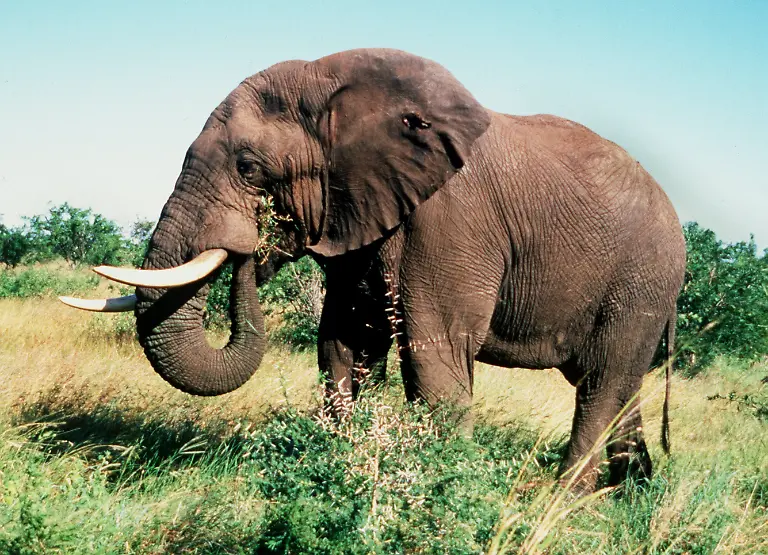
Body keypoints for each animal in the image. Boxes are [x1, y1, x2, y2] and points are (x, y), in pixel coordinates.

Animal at [62, 48, 686, 490]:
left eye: (248, 168)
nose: (251, 245)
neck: (336, 89)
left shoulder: (449, 224)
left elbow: (434, 362)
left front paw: (440, 488)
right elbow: (342, 348)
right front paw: (337, 464)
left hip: (643, 281)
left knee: (601, 385)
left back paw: (562, 501)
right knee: (616, 387)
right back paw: (632, 493)